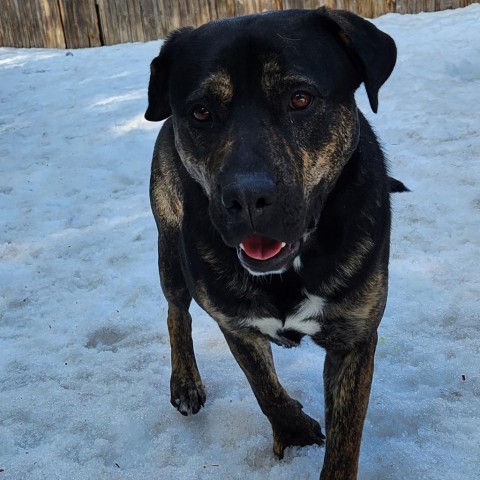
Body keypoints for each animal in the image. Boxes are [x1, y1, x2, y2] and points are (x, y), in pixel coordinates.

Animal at [144, 8, 404, 480]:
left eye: (300, 99)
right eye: (201, 112)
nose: (247, 198)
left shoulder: (354, 339)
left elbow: (346, 438)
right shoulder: (234, 322)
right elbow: (262, 386)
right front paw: (295, 430)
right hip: (169, 244)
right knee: (176, 311)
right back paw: (186, 381)